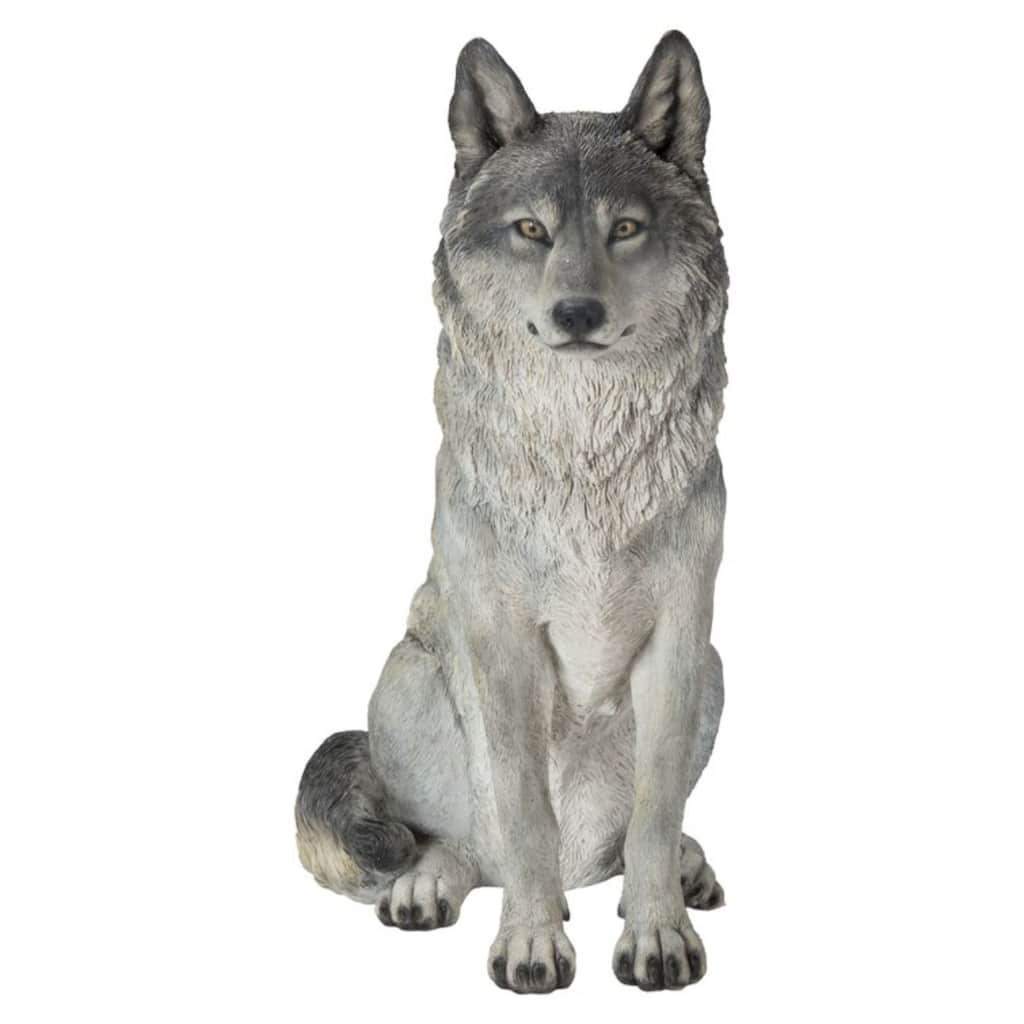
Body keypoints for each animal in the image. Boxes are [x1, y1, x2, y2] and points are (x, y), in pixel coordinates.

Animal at [296, 30, 729, 993]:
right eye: (532, 230)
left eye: (625, 228)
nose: (577, 312)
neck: (586, 456)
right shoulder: (505, 643)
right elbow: (526, 815)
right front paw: (531, 943)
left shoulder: (681, 638)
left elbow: (651, 818)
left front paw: (657, 935)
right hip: (405, 676)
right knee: (473, 846)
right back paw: (432, 886)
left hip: (717, 675)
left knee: (627, 842)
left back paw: (676, 870)